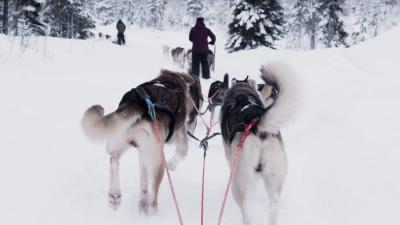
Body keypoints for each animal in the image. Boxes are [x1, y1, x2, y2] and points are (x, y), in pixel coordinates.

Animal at [81, 70, 194, 214]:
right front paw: (172, 164)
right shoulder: (179, 135)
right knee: (153, 193)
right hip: (157, 158)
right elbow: (183, 150)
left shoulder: (143, 152)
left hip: (121, 140)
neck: (169, 81)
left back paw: (115, 196)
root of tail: (137, 103)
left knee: (114, 161)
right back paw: (152, 211)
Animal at [220, 62, 298, 225]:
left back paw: (247, 218)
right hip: (274, 173)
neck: (242, 93)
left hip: (238, 178)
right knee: (273, 203)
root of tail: (257, 125)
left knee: (245, 208)